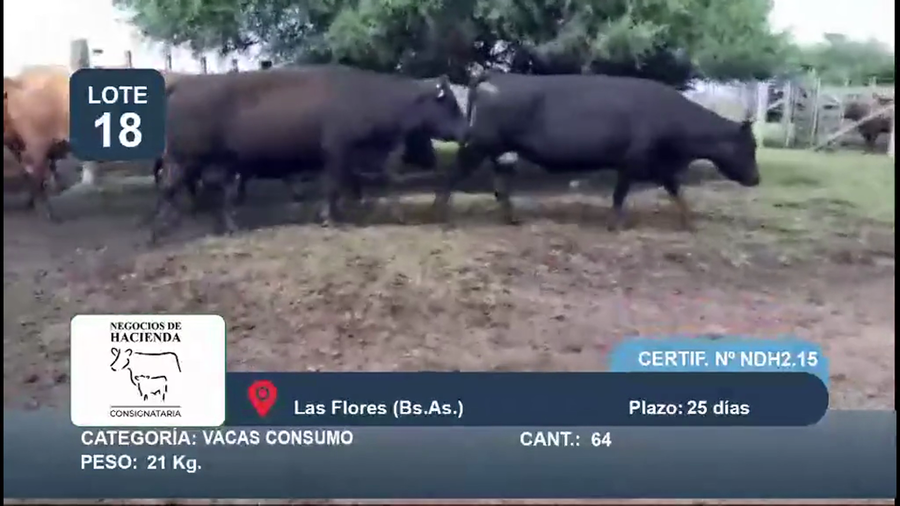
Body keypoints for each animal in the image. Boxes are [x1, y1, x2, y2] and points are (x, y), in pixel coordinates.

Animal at [148, 65, 467, 243]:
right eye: (451, 104)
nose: (465, 130)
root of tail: (182, 84)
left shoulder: (355, 158)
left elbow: (365, 185)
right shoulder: (337, 153)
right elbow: (334, 187)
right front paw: (330, 217)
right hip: (184, 159)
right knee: (169, 188)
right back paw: (161, 230)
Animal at [434, 72, 761, 230]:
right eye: (751, 146)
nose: (757, 179)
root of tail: (495, 76)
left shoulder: (660, 165)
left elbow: (677, 192)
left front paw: (690, 223)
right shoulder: (631, 161)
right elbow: (619, 194)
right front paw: (614, 225)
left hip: (499, 149)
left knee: (500, 184)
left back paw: (511, 219)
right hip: (479, 144)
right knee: (452, 174)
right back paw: (439, 215)